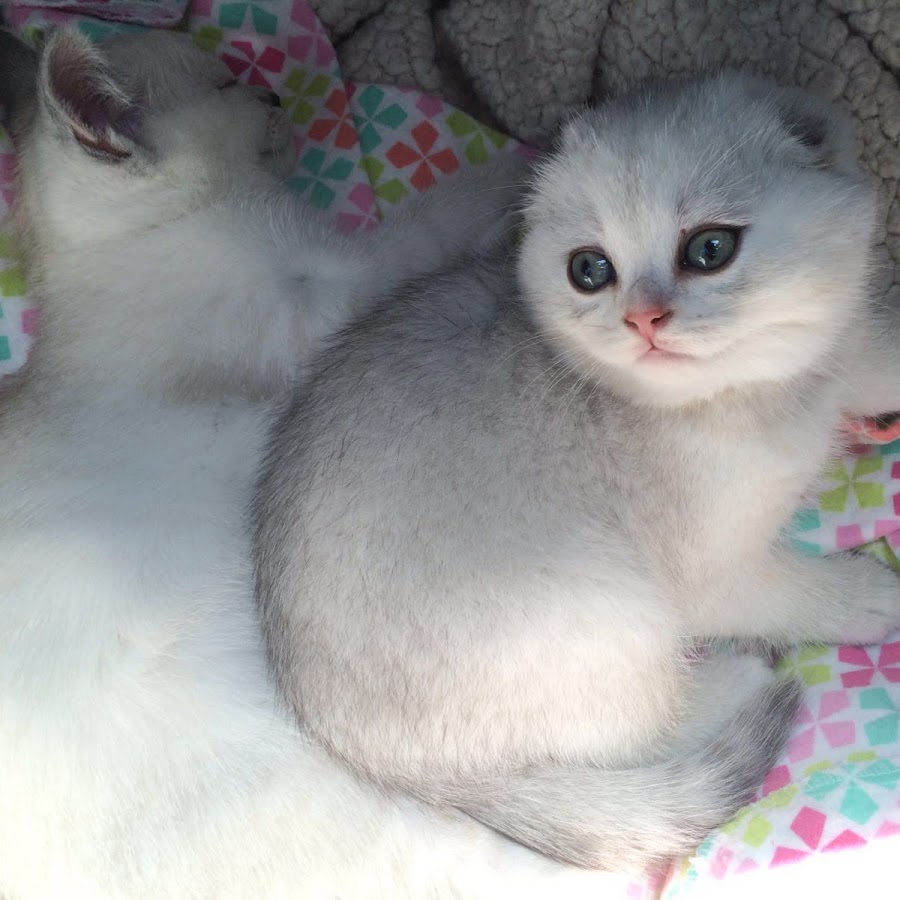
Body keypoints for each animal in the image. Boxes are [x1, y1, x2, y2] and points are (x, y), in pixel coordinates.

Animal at [251, 74, 900, 876]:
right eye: (590, 270)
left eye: (710, 248)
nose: (642, 319)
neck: (769, 396)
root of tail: (377, 762)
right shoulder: (710, 570)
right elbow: (786, 590)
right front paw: (868, 594)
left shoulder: (842, 355)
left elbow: (876, 357)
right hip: (611, 607)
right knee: (644, 727)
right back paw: (740, 676)